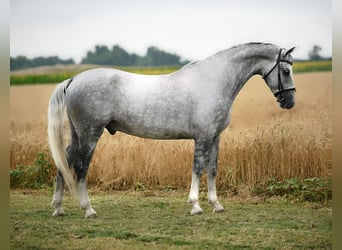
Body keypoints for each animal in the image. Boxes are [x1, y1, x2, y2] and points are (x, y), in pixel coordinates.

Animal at [48, 42, 296, 217]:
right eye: (285, 70)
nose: (290, 102)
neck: (213, 81)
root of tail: (73, 79)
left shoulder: (215, 137)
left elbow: (212, 169)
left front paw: (216, 204)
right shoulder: (202, 137)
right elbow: (197, 168)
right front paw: (196, 206)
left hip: (77, 134)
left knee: (65, 160)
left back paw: (59, 208)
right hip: (90, 134)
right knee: (80, 166)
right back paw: (88, 209)